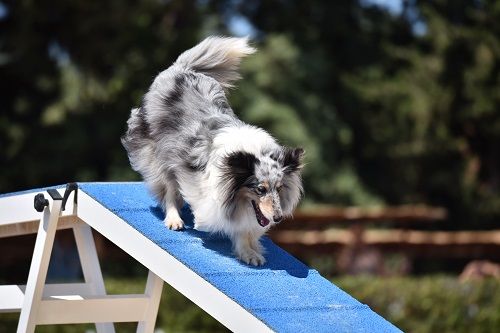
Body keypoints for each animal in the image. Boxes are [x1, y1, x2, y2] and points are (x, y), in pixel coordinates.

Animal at [121, 36, 304, 264]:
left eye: (279, 188)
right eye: (260, 189)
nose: (278, 218)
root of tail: (180, 68)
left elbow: (245, 228)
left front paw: (249, 253)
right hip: (163, 156)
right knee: (169, 190)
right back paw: (174, 220)